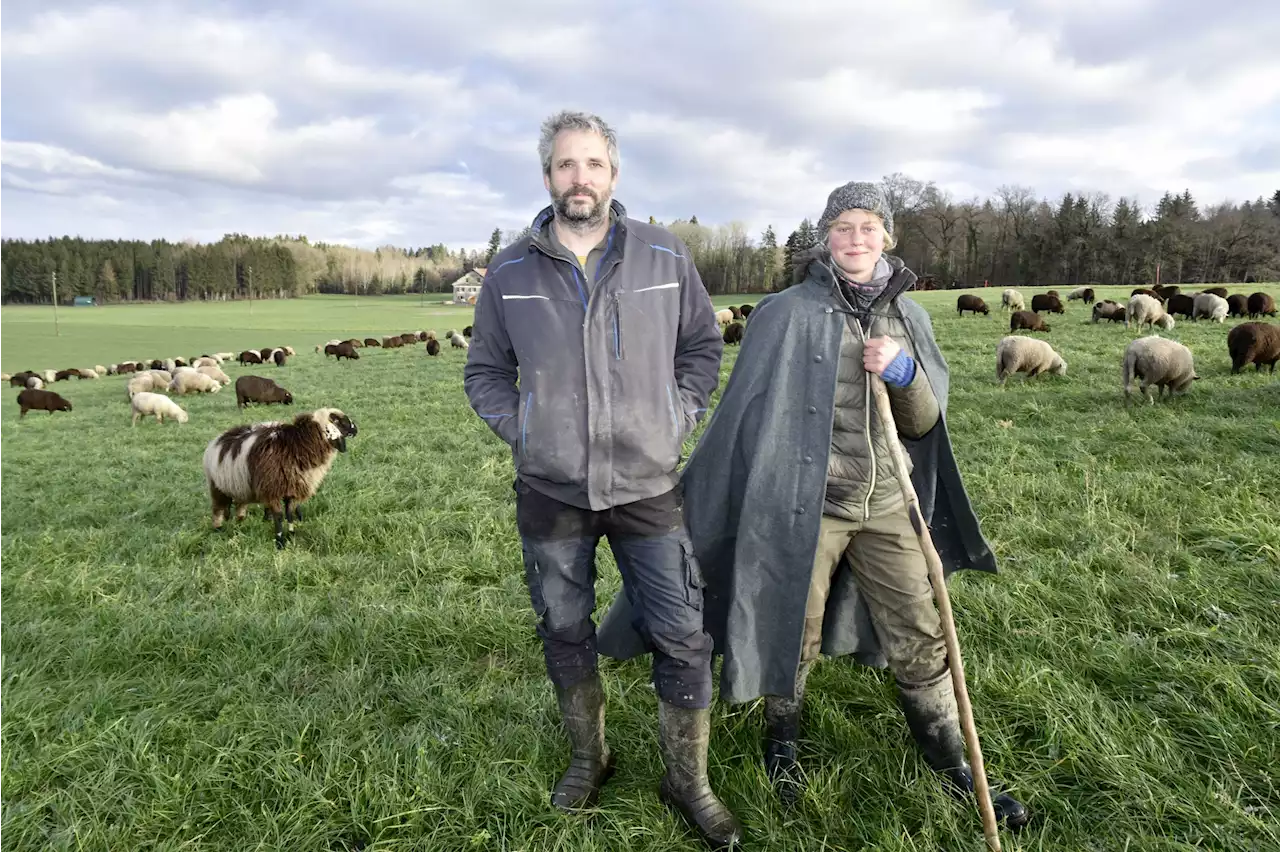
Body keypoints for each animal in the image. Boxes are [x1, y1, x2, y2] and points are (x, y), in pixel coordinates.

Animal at [199, 406, 360, 550]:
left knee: (239, 505)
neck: (298, 445)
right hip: (217, 487)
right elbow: (279, 516)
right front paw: (280, 542)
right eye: (340, 421)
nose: (356, 430)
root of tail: (217, 440)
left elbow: (289, 514)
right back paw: (218, 529)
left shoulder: (292, 489)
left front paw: (292, 535)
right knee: (218, 509)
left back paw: (240, 522)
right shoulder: (273, 490)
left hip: (239, 486)